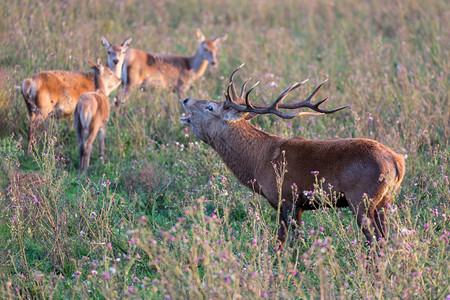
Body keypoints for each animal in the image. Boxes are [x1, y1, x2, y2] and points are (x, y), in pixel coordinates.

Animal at [181, 64, 406, 247]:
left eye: (210, 107)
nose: (185, 99)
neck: (258, 161)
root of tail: (397, 162)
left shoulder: (287, 198)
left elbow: (284, 242)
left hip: (361, 199)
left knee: (378, 241)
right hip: (384, 201)